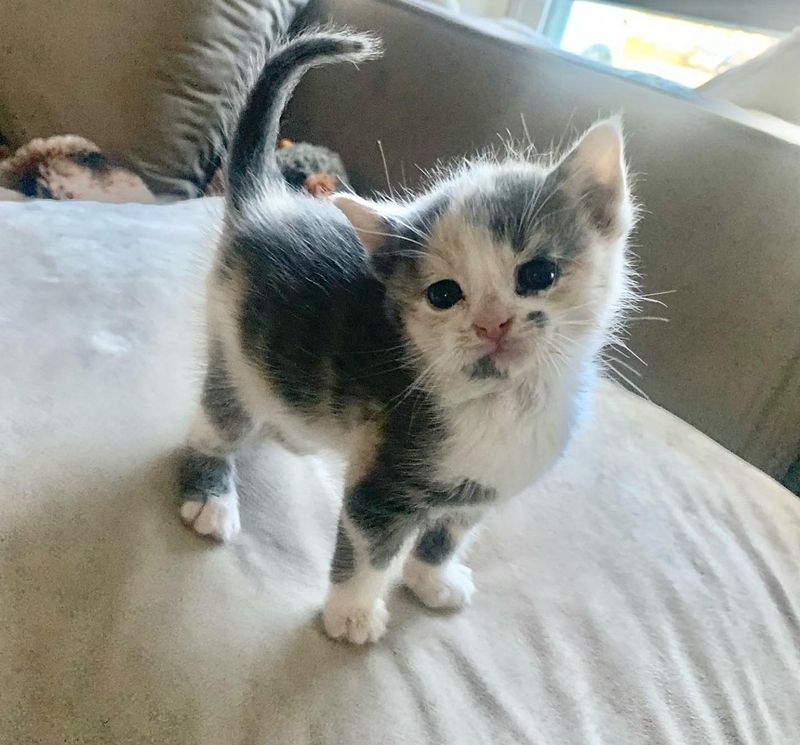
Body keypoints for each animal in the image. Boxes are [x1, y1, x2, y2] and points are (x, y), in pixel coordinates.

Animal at [178, 32, 636, 644]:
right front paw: (351, 614)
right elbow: (370, 548)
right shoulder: (384, 477)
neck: (504, 401)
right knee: (216, 423)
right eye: (444, 294)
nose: (493, 322)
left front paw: (431, 579)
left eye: (538, 274)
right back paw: (209, 496)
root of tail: (267, 204)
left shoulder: (478, 490)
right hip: (237, 348)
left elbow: (446, 535)